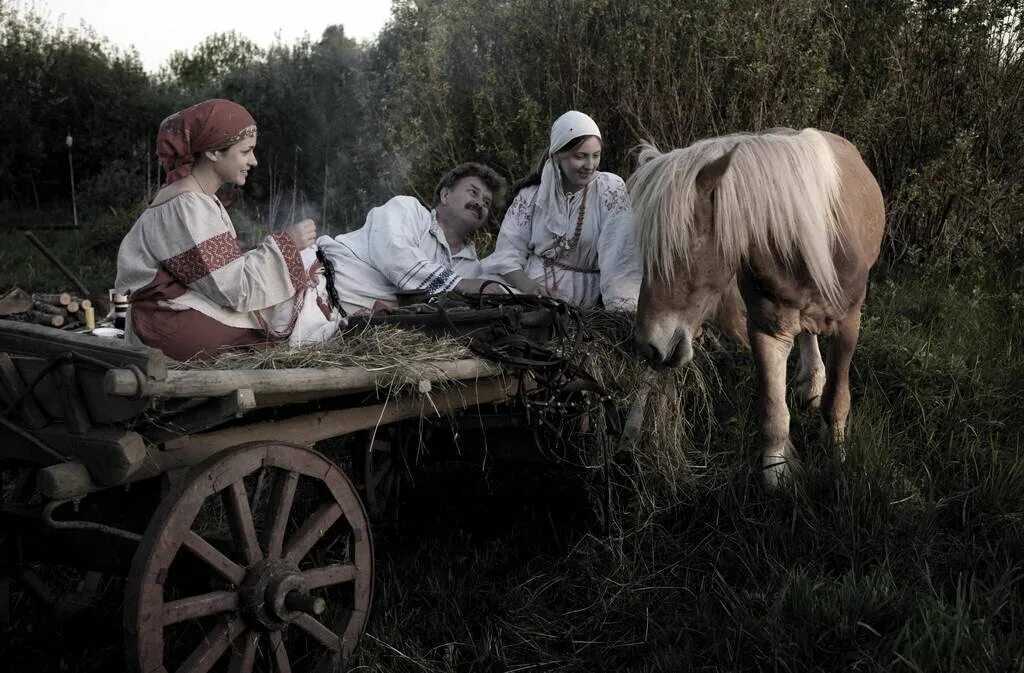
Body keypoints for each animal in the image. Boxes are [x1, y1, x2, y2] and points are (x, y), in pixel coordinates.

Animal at [626, 127, 884, 483]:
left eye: (682, 249)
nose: (649, 346)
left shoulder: (848, 325)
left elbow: (837, 400)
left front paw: (837, 457)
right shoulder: (766, 329)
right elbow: (774, 413)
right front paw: (777, 476)